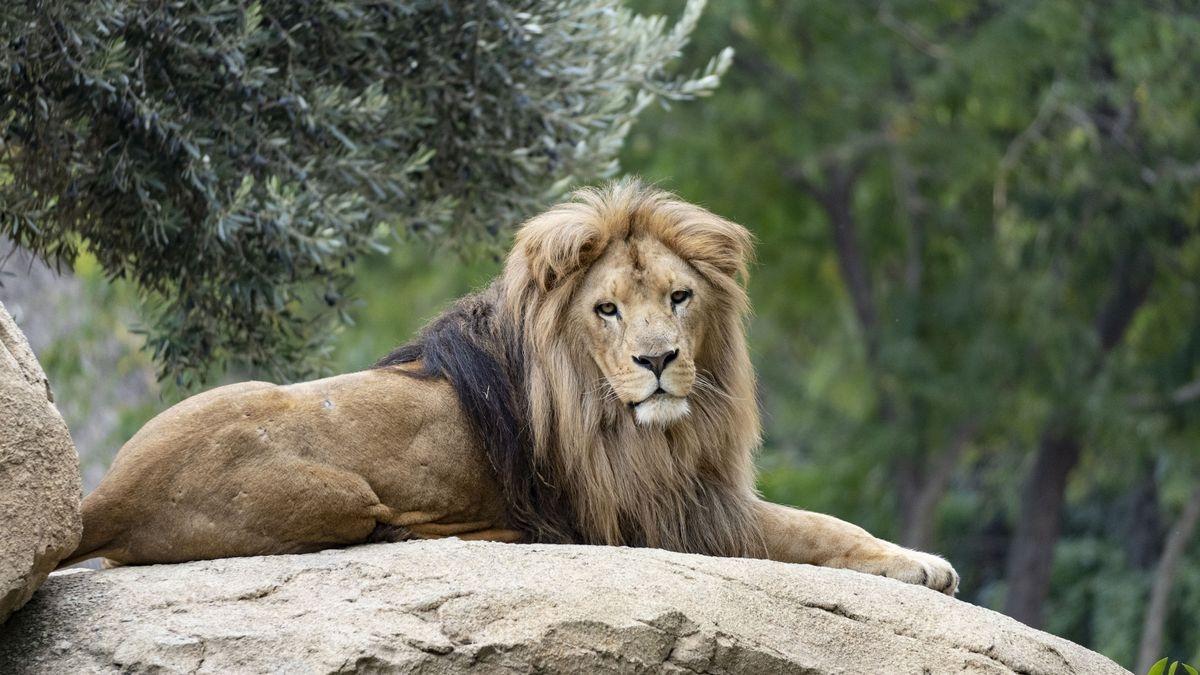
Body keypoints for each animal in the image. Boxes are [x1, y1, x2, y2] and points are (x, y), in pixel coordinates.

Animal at [68, 180, 964, 593]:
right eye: (607, 308)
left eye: (680, 296)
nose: (659, 360)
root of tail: (102, 494)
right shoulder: (662, 514)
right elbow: (812, 527)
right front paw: (920, 564)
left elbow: (821, 523)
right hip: (334, 489)